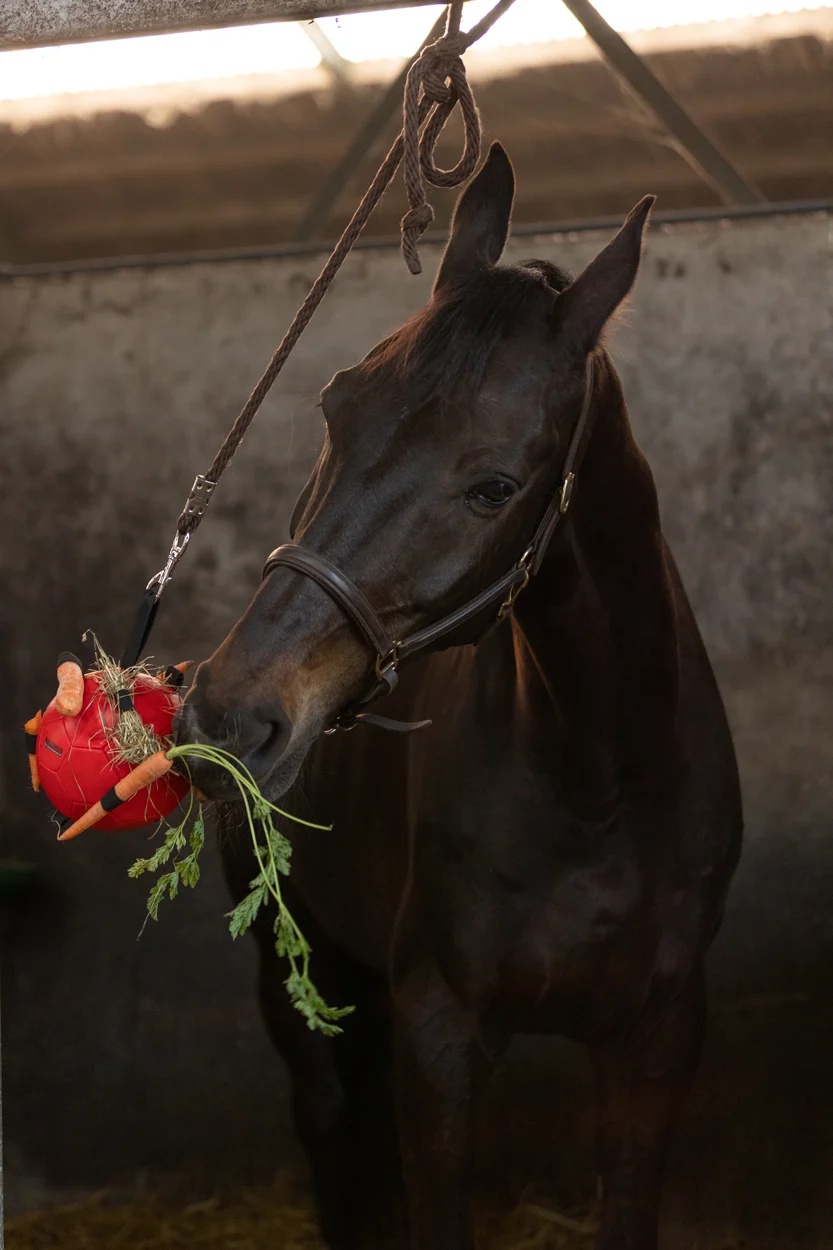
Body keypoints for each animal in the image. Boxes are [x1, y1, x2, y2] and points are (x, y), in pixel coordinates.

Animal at [176, 143, 743, 1250]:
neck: (596, 782)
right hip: (296, 968)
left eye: (493, 487)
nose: (229, 714)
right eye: (334, 404)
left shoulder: (658, 1039)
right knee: (328, 1124)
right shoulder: (437, 1035)